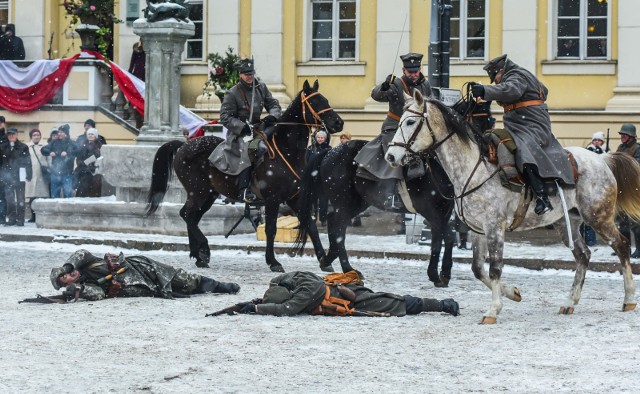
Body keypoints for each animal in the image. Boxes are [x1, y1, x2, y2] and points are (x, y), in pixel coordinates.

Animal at [147, 80, 342, 270]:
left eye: (325, 99)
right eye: (315, 102)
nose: (339, 123)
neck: (287, 151)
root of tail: (183, 145)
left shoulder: (296, 197)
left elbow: (311, 225)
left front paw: (324, 261)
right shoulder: (272, 199)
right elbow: (271, 229)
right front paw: (273, 261)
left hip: (209, 195)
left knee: (191, 217)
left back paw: (198, 255)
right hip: (198, 192)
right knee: (188, 215)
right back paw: (204, 249)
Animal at [292, 84, 492, 284]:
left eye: (489, 118)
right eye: (479, 116)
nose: (485, 148)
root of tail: (329, 152)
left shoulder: (443, 211)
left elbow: (439, 239)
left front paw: (436, 273)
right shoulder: (431, 211)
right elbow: (447, 236)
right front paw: (442, 273)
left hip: (356, 203)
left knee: (335, 226)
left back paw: (330, 259)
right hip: (343, 201)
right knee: (338, 229)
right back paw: (346, 267)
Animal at [384, 91, 640, 324]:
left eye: (410, 121)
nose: (390, 156)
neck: (474, 168)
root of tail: (603, 159)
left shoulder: (495, 228)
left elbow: (495, 268)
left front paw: (492, 310)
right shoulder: (478, 230)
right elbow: (478, 269)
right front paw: (512, 293)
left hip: (598, 217)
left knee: (621, 245)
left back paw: (628, 299)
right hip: (566, 223)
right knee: (583, 255)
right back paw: (570, 301)